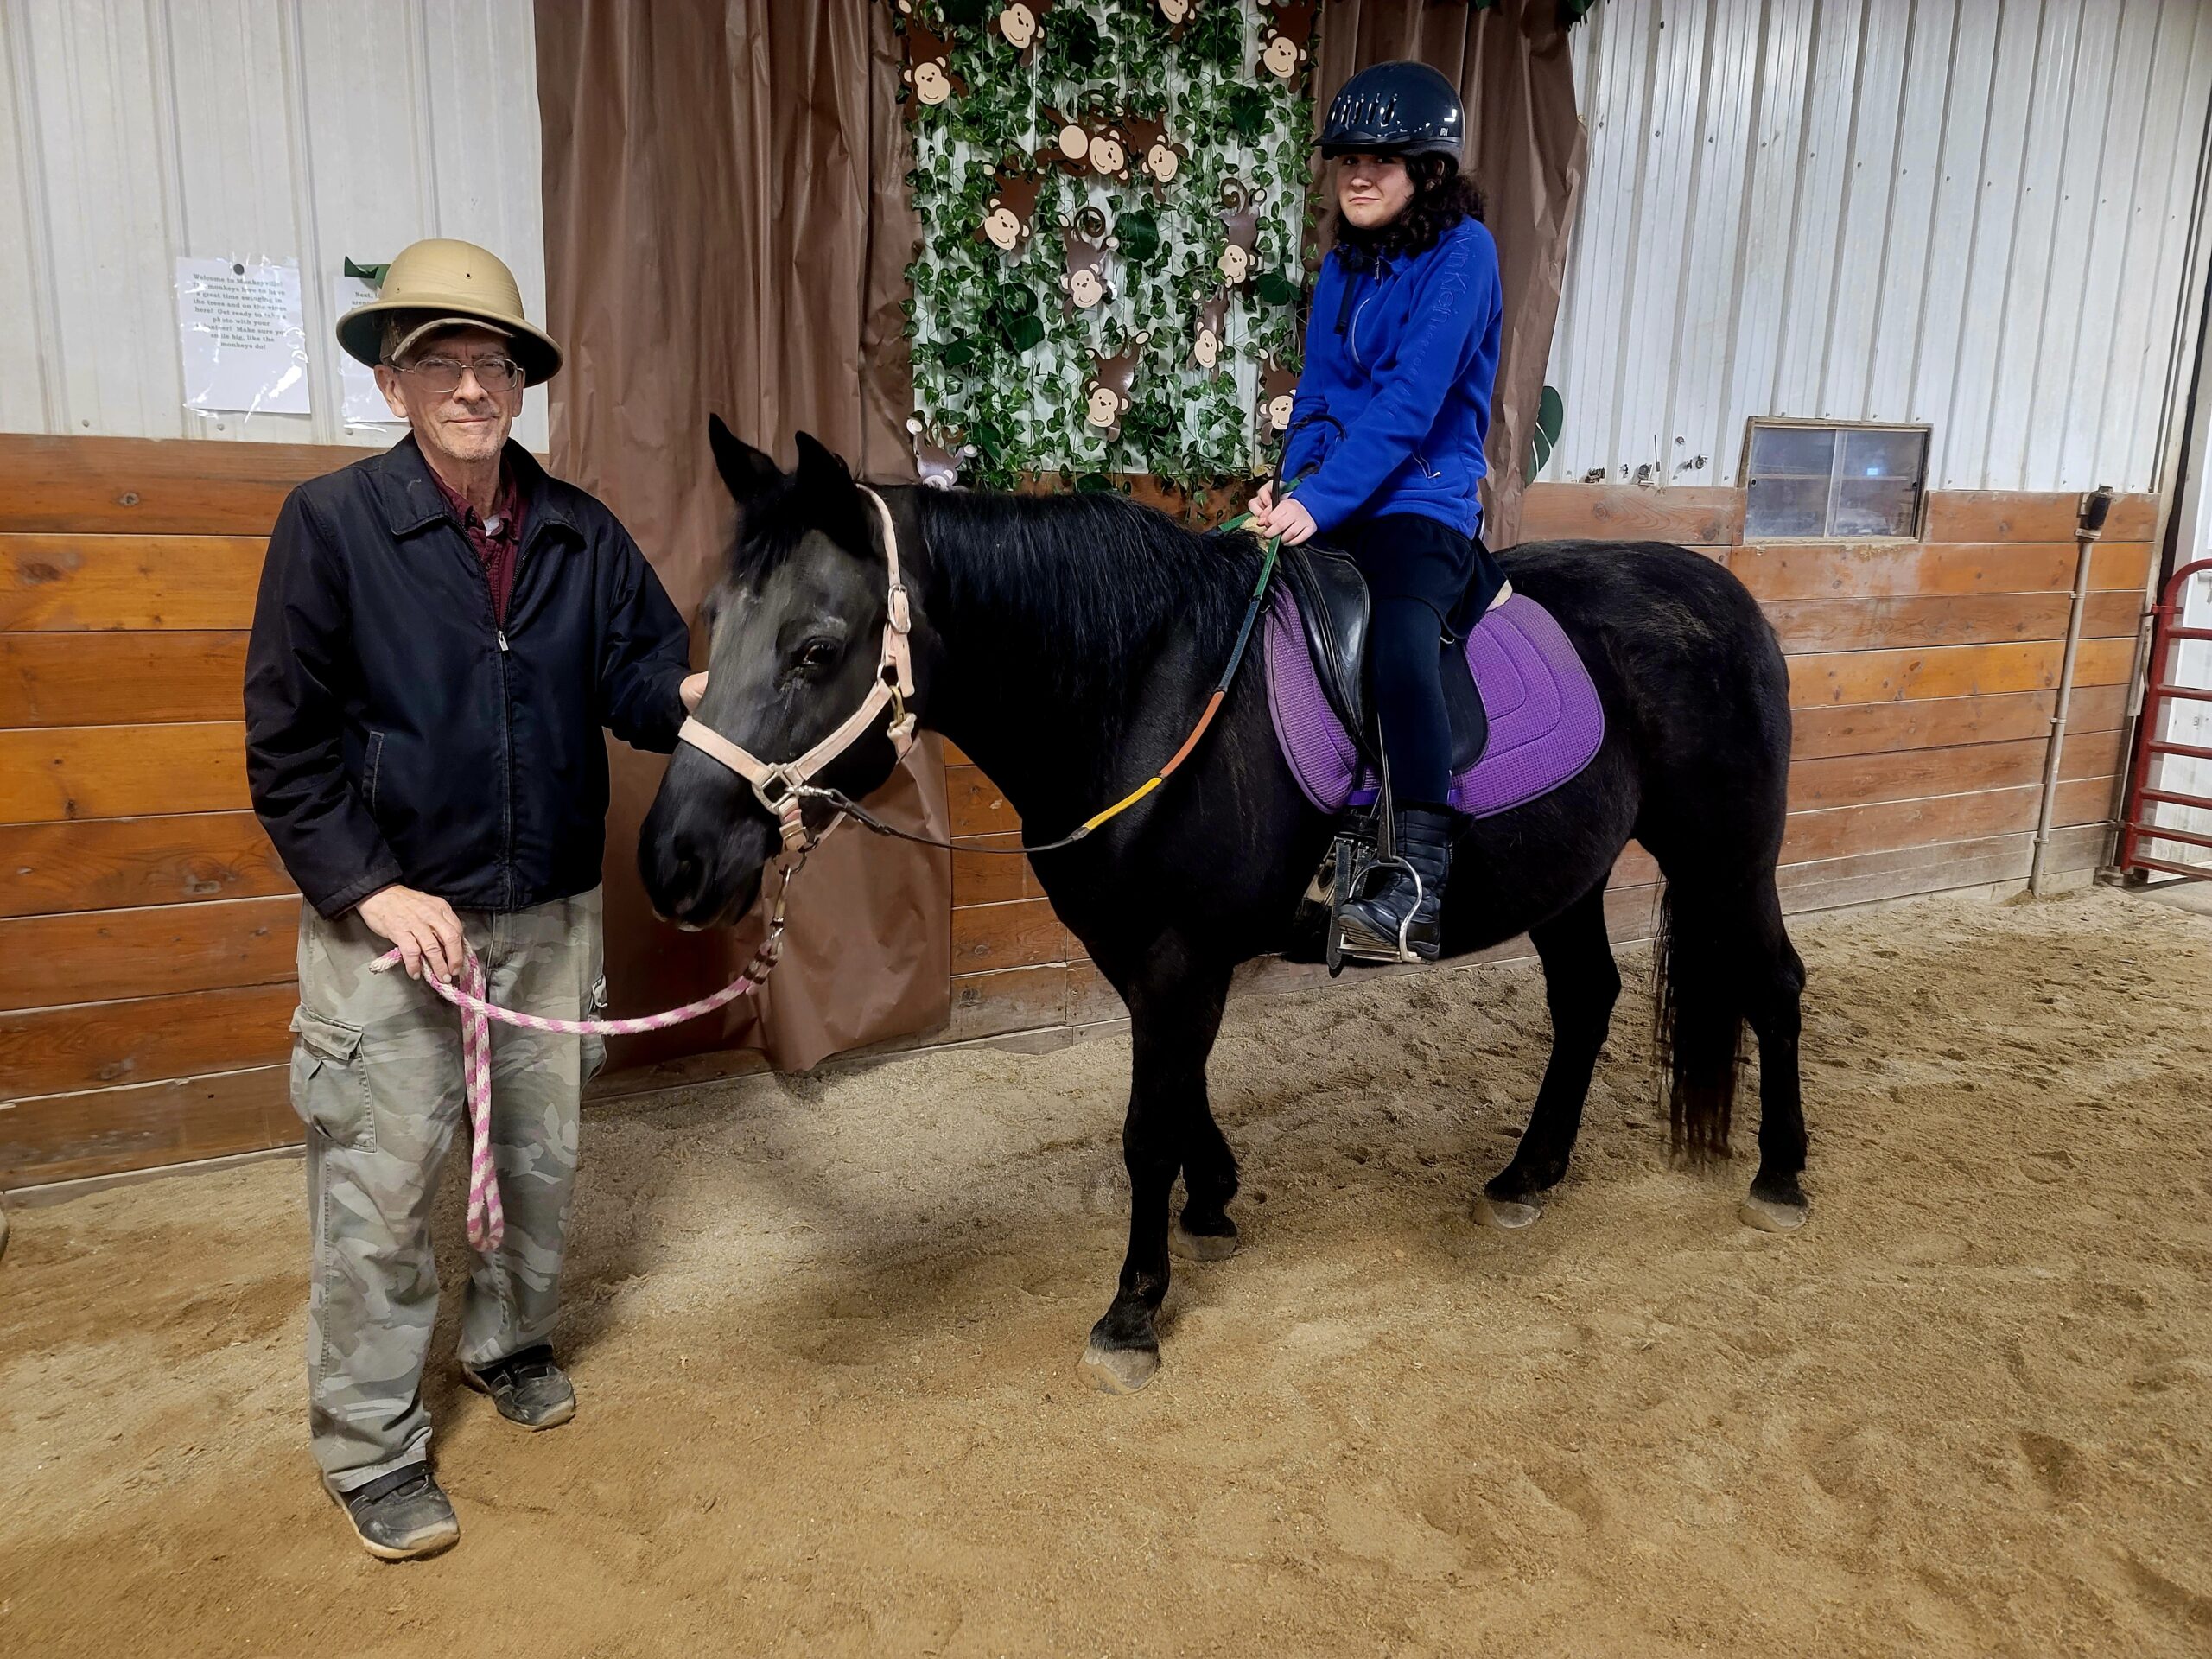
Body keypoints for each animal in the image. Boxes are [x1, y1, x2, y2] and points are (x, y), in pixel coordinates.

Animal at [641, 420, 1808, 1394]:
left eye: (816, 648)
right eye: (710, 621)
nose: (673, 861)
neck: (1144, 693)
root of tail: (1725, 596)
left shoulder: (1176, 957)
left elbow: (1144, 1128)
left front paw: (1132, 1311)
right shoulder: (1142, 954)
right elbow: (1181, 1095)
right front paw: (1212, 1201)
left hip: (1725, 856)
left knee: (1775, 986)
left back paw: (1780, 1176)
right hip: (1567, 874)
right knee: (1586, 999)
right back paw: (1528, 1175)